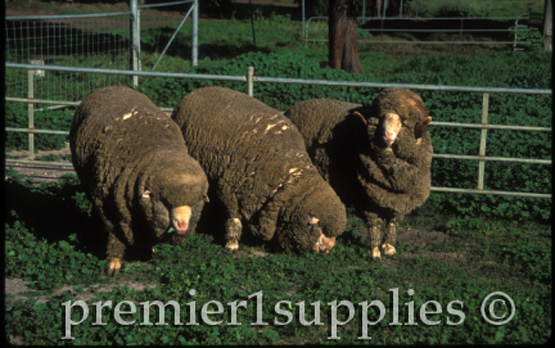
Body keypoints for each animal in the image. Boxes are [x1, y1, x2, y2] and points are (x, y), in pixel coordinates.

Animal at [69, 85, 208, 274]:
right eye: (165, 202)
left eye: (195, 202)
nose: (182, 225)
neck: (155, 150)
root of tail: (112, 87)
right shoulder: (109, 208)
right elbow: (115, 235)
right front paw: (114, 262)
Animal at [170, 85, 348, 254]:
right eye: (321, 229)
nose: (328, 249)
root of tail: (195, 92)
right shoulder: (230, 191)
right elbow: (234, 221)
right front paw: (232, 244)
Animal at [286, 88, 434, 260]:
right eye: (380, 120)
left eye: (403, 122)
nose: (388, 135)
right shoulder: (365, 198)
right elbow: (374, 223)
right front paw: (375, 252)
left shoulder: (399, 199)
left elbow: (392, 222)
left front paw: (389, 248)